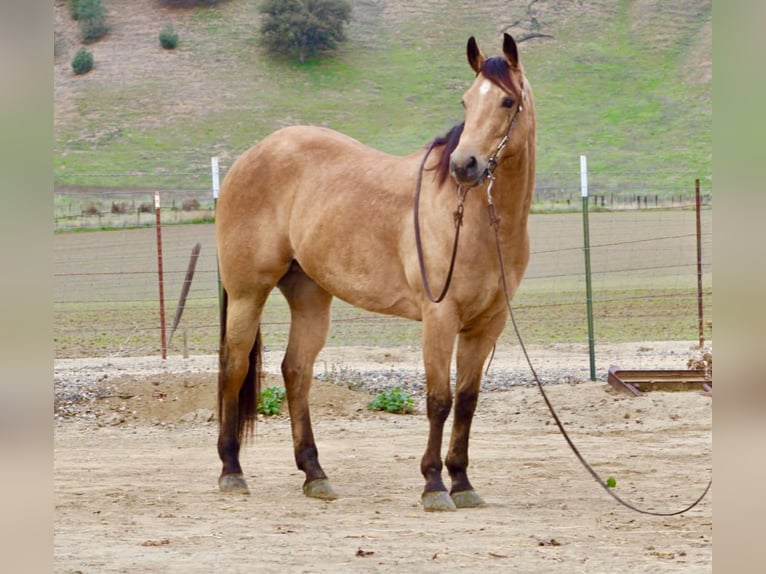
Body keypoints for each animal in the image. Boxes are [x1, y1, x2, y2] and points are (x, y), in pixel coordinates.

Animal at [215, 33, 536, 512]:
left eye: (506, 100)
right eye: (465, 101)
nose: (464, 165)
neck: (475, 220)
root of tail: (248, 159)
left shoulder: (486, 325)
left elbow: (467, 401)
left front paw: (462, 482)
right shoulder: (440, 319)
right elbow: (439, 400)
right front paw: (433, 484)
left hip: (309, 296)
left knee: (296, 371)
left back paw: (315, 473)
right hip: (246, 293)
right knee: (234, 367)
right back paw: (231, 469)